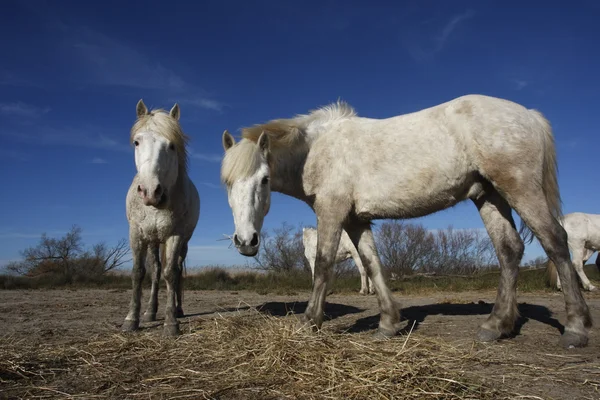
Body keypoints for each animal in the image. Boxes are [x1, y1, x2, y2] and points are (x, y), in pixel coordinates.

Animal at [123, 101, 200, 338]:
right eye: (137, 142)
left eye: (172, 146)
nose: (150, 191)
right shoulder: (137, 234)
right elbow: (138, 273)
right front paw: (132, 319)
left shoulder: (175, 236)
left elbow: (171, 274)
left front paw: (171, 322)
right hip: (153, 241)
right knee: (156, 270)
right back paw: (150, 312)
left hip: (182, 242)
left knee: (176, 270)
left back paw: (178, 309)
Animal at [220, 95, 592, 348]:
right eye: (227, 183)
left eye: (264, 179)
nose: (246, 242)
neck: (318, 150)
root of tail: (528, 114)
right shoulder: (356, 220)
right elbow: (372, 265)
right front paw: (388, 323)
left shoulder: (332, 211)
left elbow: (324, 264)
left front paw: (310, 322)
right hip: (489, 195)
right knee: (509, 251)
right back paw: (496, 325)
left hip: (519, 188)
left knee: (555, 241)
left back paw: (575, 328)